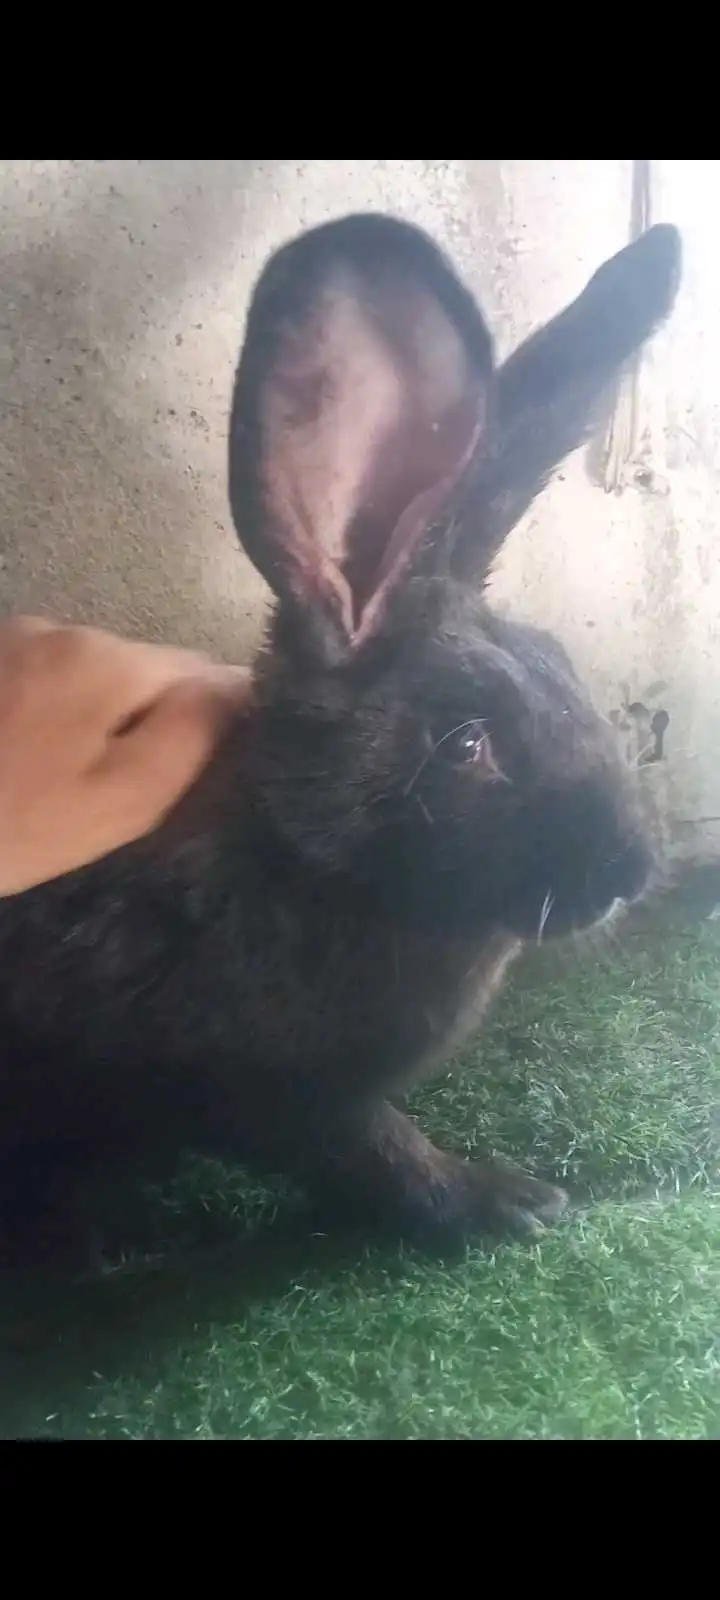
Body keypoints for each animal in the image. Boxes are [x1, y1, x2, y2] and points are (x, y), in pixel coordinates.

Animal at [0, 212, 682, 1260]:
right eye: (467, 745)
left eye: (560, 661)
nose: (630, 869)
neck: (300, 858)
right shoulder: (266, 1088)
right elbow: (373, 1153)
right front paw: (504, 1203)